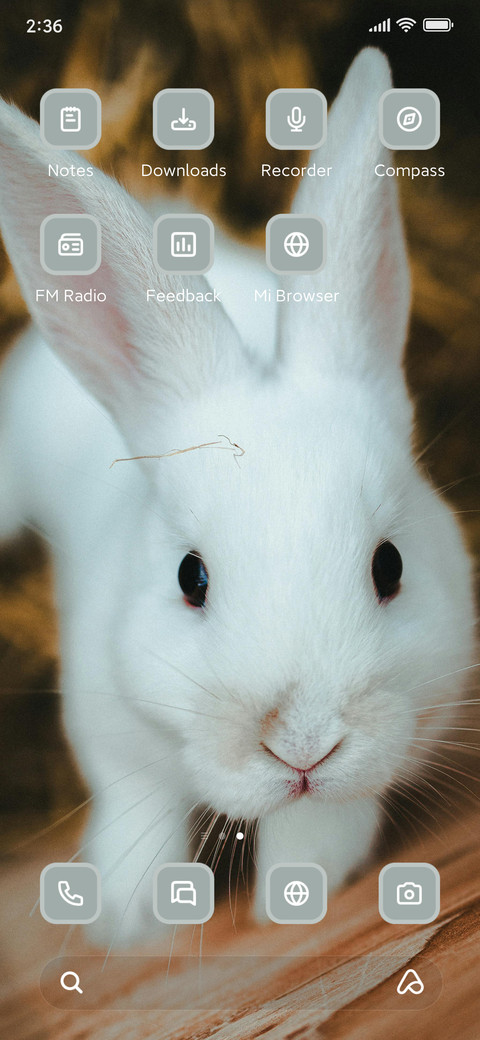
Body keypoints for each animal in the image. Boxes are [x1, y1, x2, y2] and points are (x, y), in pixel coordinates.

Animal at [0, 48, 476, 946]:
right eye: (191, 579)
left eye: (390, 567)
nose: (303, 744)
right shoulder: (108, 731)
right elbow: (138, 812)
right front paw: (129, 922)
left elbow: (321, 830)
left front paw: (294, 892)